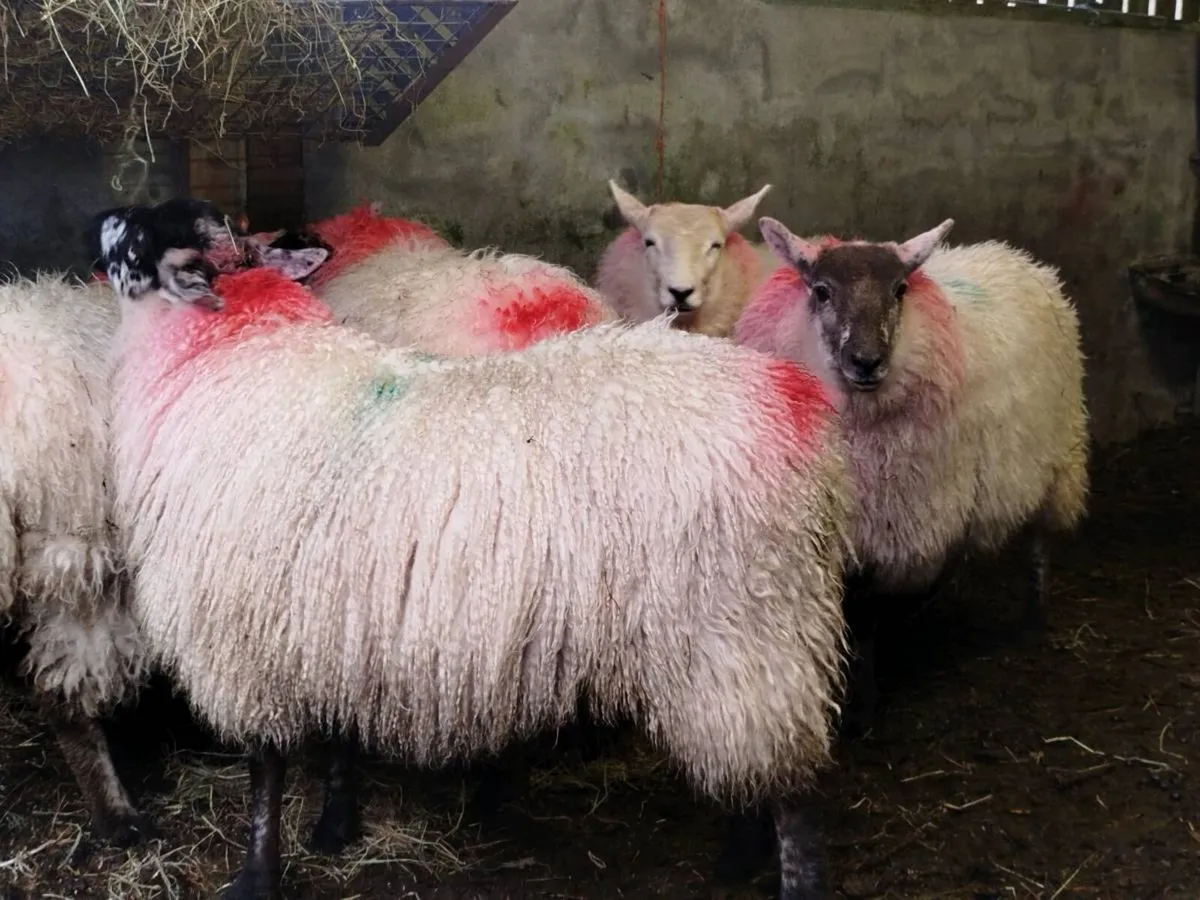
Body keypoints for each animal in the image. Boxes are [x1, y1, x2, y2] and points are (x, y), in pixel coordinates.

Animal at [95, 198, 855, 900]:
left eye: (139, 240)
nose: (103, 218)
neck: (232, 348)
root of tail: (789, 401)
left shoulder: (236, 633)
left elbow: (264, 771)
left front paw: (257, 876)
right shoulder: (333, 618)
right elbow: (336, 738)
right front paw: (336, 825)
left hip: (744, 632)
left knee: (795, 792)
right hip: (752, 639)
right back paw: (738, 855)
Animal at [735, 216, 1089, 735]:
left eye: (899, 289)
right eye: (821, 291)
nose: (866, 361)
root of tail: (1018, 258)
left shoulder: (884, 531)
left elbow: (863, 619)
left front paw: (861, 707)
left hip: (1057, 459)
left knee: (1039, 544)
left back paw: (1033, 617)